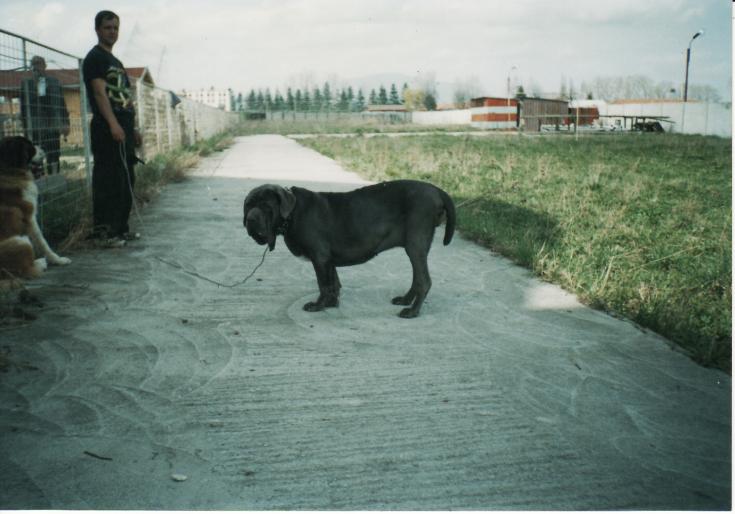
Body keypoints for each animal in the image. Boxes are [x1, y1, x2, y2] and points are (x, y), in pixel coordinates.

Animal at [244, 180, 458, 316]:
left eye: (266, 206)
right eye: (248, 205)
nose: (250, 219)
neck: (292, 214)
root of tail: (437, 190)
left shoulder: (320, 257)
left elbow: (323, 284)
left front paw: (318, 306)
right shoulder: (328, 260)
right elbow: (334, 283)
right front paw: (331, 304)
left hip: (415, 245)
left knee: (424, 281)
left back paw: (412, 312)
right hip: (415, 247)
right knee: (417, 278)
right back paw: (406, 300)